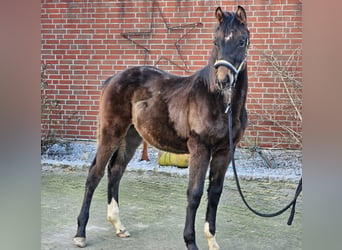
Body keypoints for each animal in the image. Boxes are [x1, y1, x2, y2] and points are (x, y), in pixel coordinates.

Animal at [75, 5, 250, 250]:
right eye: (215, 41)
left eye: (242, 41)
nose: (223, 80)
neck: (219, 102)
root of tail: (112, 79)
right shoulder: (200, 149)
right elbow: (194, 193)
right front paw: (190, 242)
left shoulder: (225, 151)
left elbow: (214, 193)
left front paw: (212, 241)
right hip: (111, 133)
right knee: (95, 174)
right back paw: (80, 233)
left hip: (131, 137)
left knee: (115, 171)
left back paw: (119, 227)